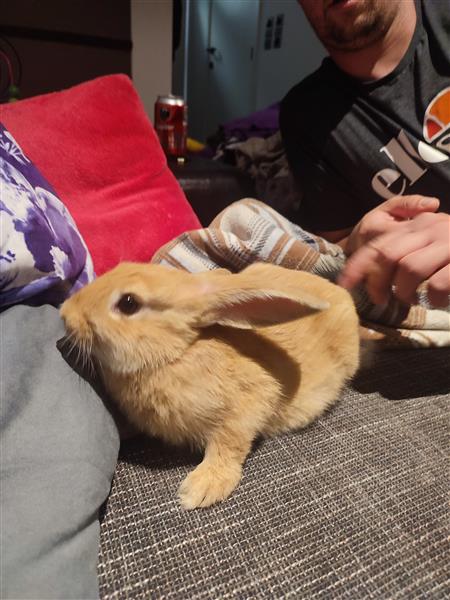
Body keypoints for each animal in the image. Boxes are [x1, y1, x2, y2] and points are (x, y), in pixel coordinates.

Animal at [61, 262, 360, 506]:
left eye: (129, 303)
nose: (65, 313)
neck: (176, 353)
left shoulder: (250, 403)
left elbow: (229, 444)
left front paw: (202, 488)